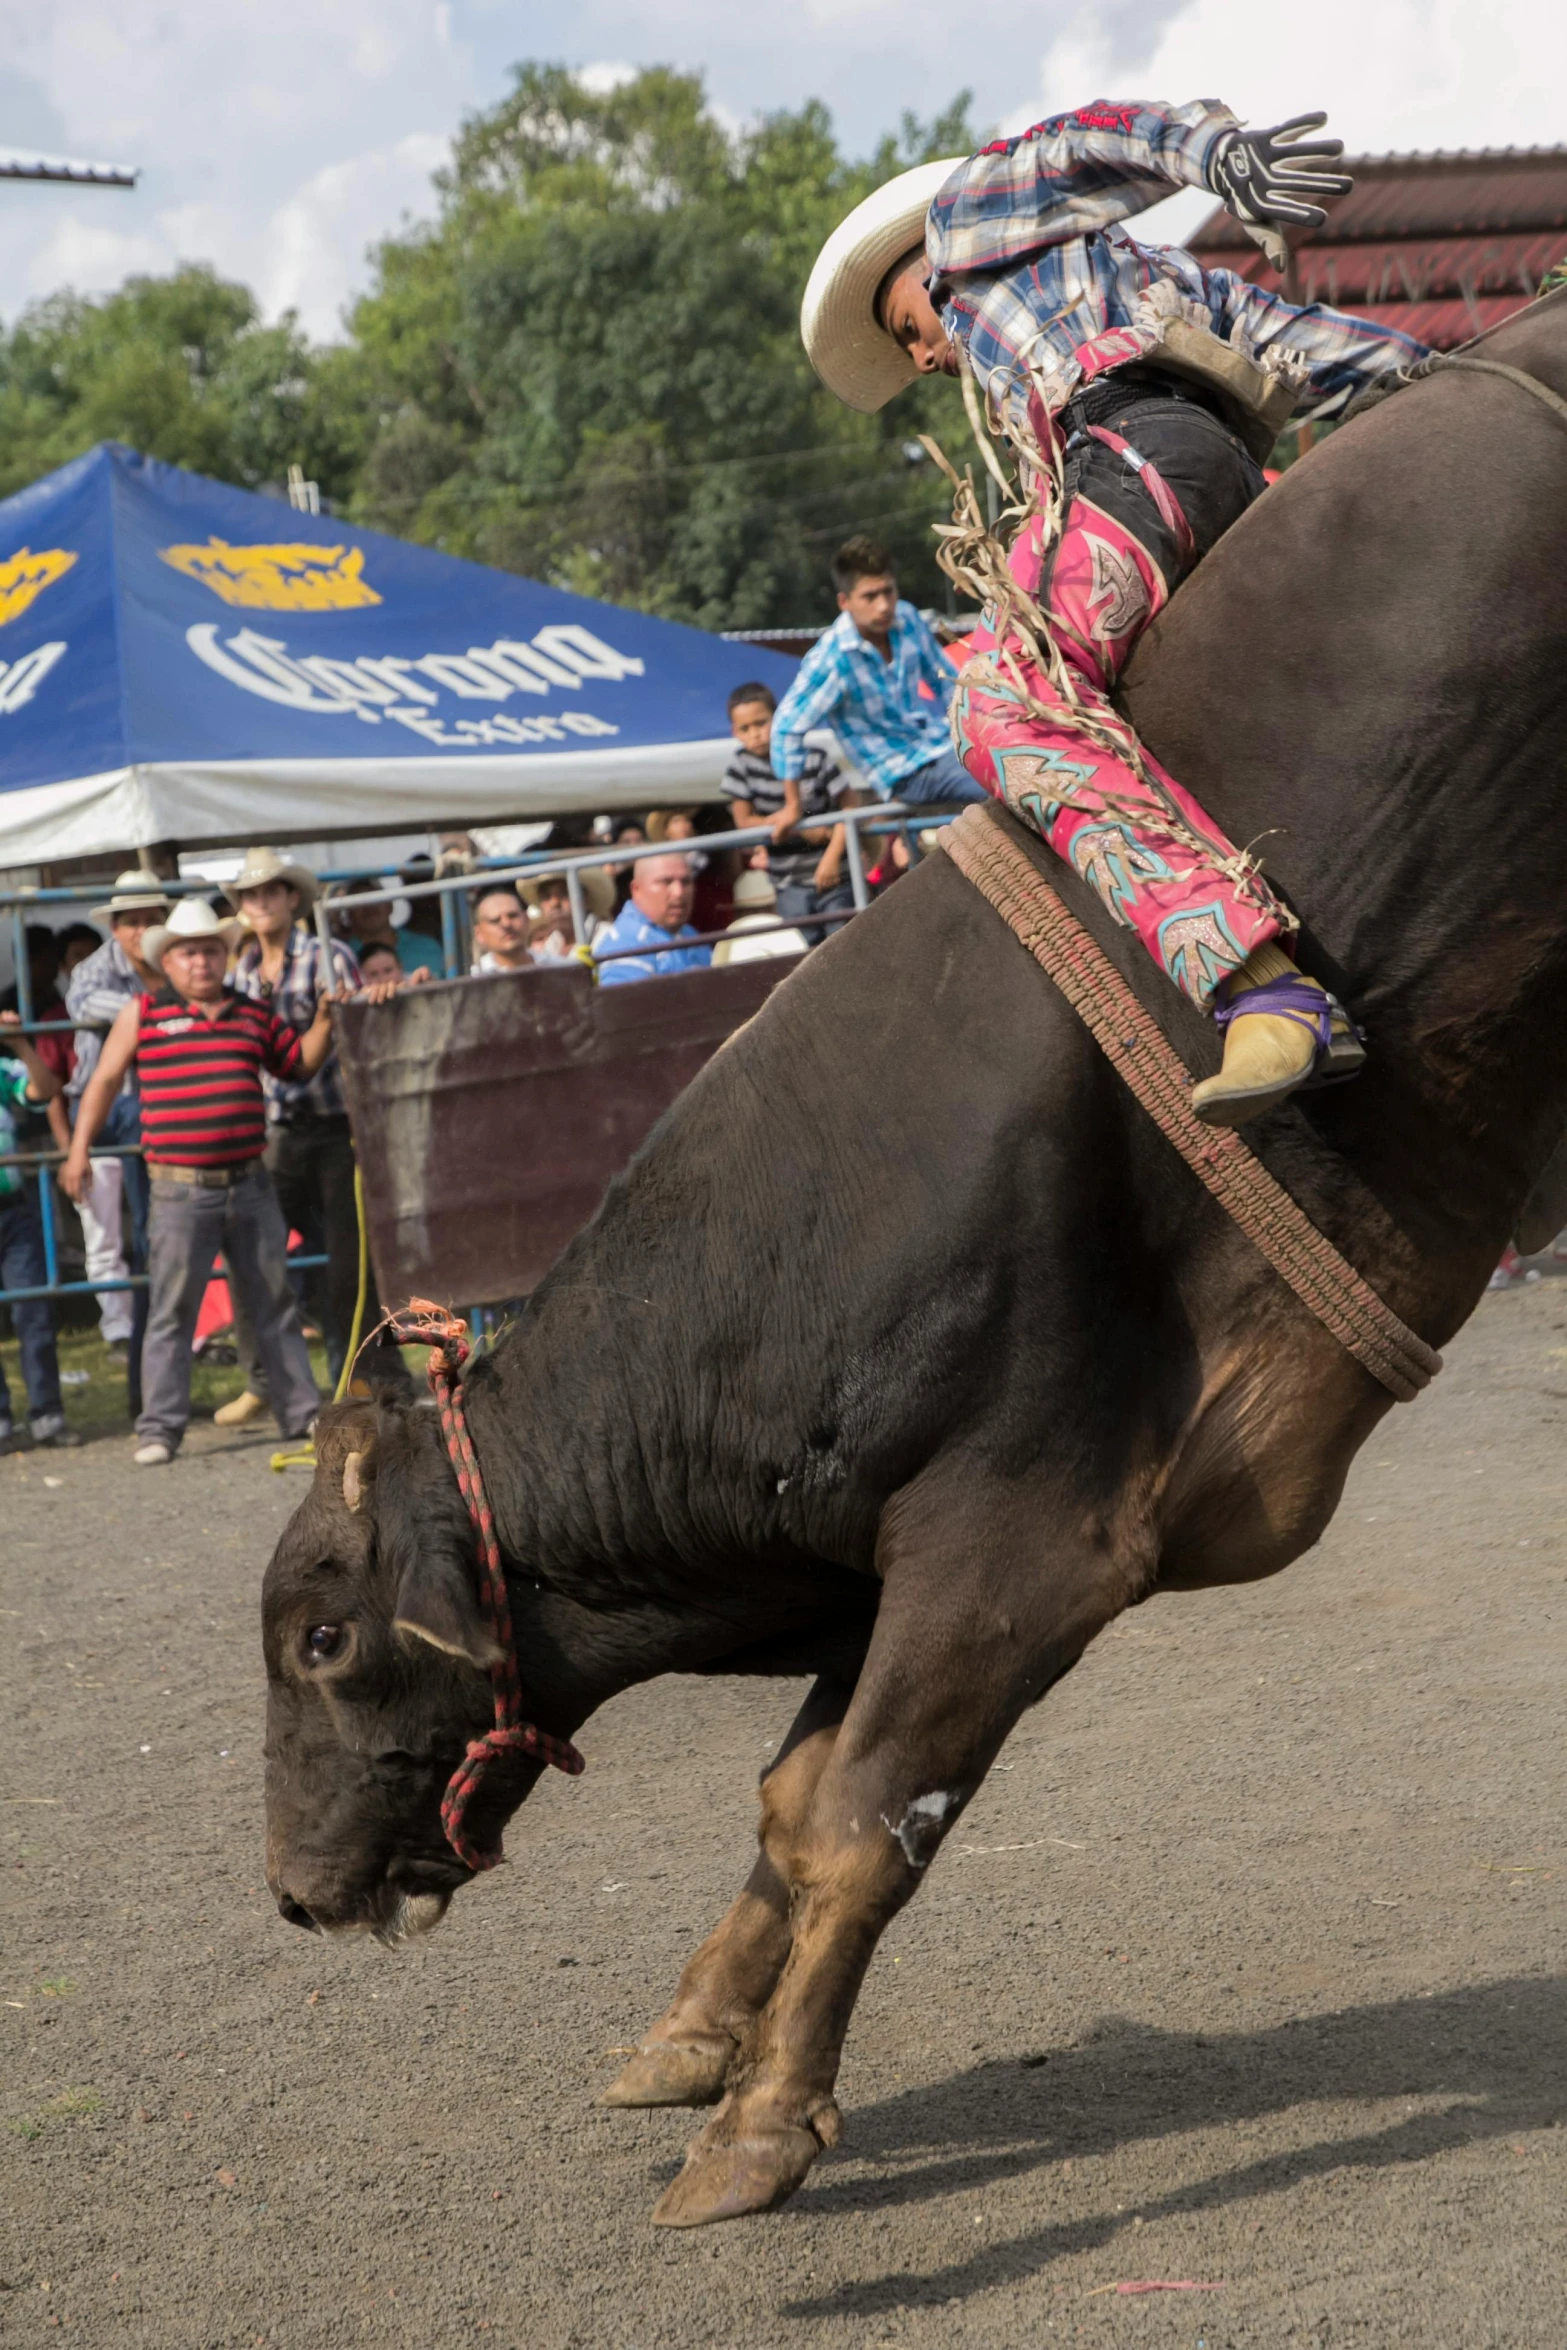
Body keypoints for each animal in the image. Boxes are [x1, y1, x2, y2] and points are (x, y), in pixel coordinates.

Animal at [263, 303, 1567, 2227]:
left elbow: (861, 1813)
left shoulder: (1017, 1539)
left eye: (328, 1634)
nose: (293, 1891)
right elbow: (791, 1799)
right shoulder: (873, 1549)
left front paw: (755, 2129)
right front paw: (688, 2038)